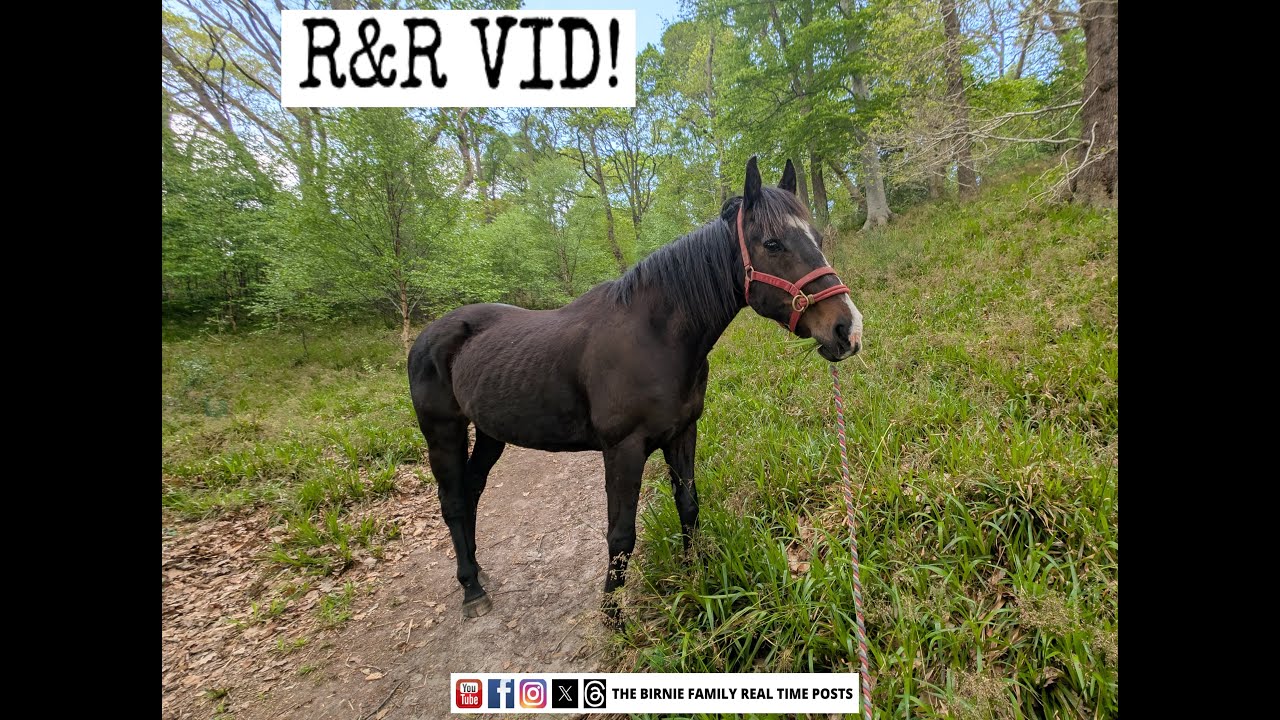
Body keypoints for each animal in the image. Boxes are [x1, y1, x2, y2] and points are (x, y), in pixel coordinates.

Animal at [408, 157, 864, 619]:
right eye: (772, 244)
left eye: (817, 238)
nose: (847, 329)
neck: (654, 337)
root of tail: (429, 334)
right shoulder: (622, 450)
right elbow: (621, 535)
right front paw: (613, 617)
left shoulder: (682, 433)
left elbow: (689, 505)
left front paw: (694, 575)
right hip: (442, 432)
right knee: (454, 501)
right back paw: (471, 588)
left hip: (490, 433)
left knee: (472, 490)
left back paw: (478, 572)